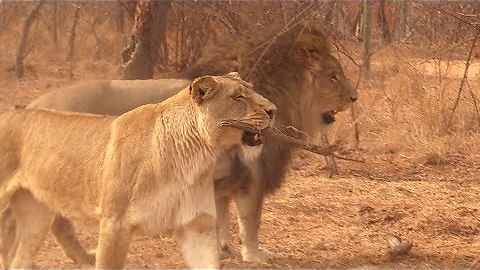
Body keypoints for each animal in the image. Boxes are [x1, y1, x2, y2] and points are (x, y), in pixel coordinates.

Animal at [0, 73, 278, 268]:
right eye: (238, 97)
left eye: (252, 90)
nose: (273, 110)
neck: (195, 155)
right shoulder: (114, 223)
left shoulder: (196, 225)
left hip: (36, 215)